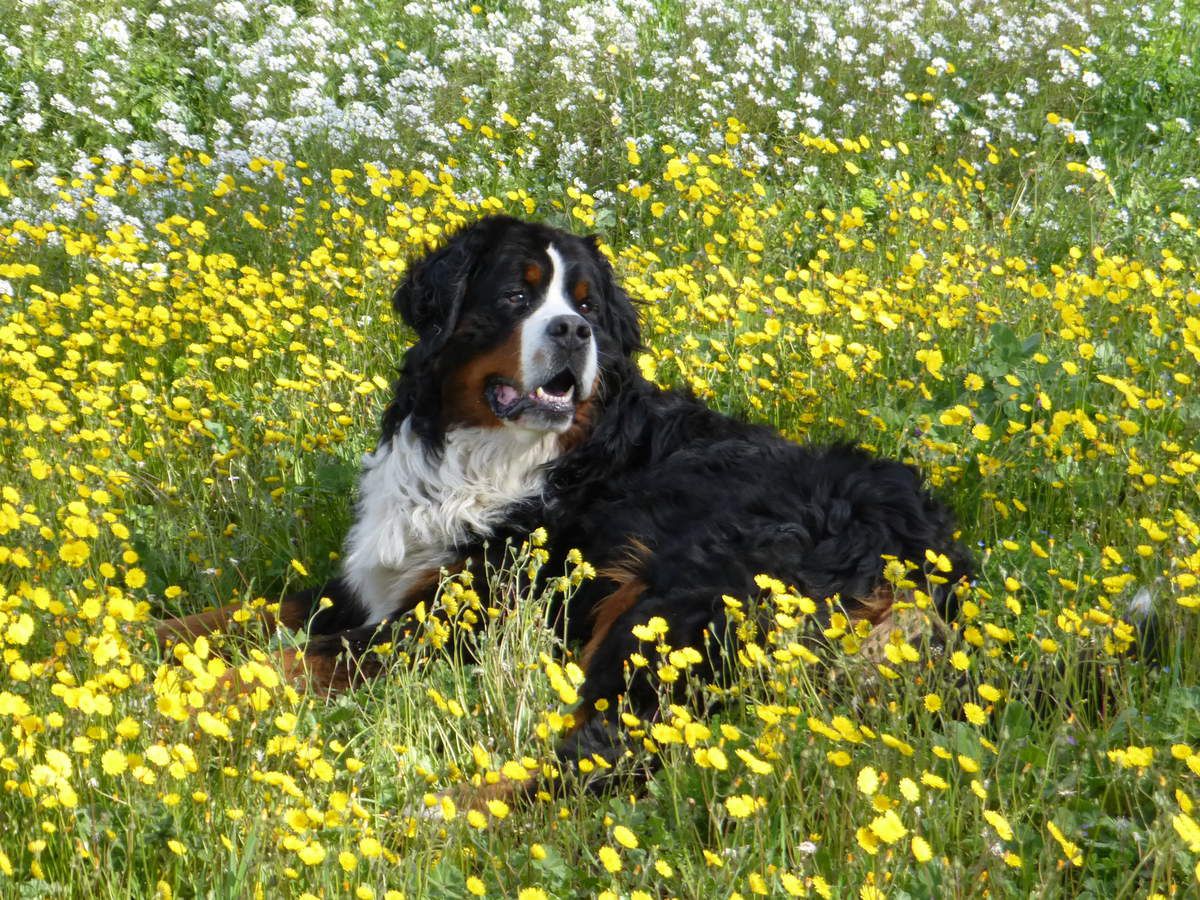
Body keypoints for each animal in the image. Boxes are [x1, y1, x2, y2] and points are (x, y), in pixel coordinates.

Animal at [154, 218, 969, 796]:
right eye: (516, 295)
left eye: (586, 307)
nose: (572, 332)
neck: (493, 457)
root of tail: (928, 568)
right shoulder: (374, 587)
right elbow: (233, 616)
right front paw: (128, 638)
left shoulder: (449, 621)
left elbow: (281, 663)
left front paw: (175, 701)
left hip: (671, 606)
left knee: (599, 759)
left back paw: (437, 818)